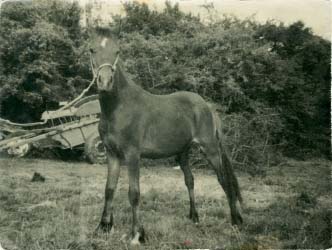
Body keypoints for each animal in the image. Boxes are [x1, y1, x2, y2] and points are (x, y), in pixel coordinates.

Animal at [89, 28, 243, 245]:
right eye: (92, 50)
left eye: (117, 51)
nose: (104, 81)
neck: (119, 107)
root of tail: (206, 105)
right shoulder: (112, 154)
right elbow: (109, 189)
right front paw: (103, 227)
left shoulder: (132, 155)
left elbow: (134, 193)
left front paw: (137, 234)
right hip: (183, 152)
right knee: (190, 180)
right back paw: (194, 217)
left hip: (211, 150)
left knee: (224, 180)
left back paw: (236, 221)